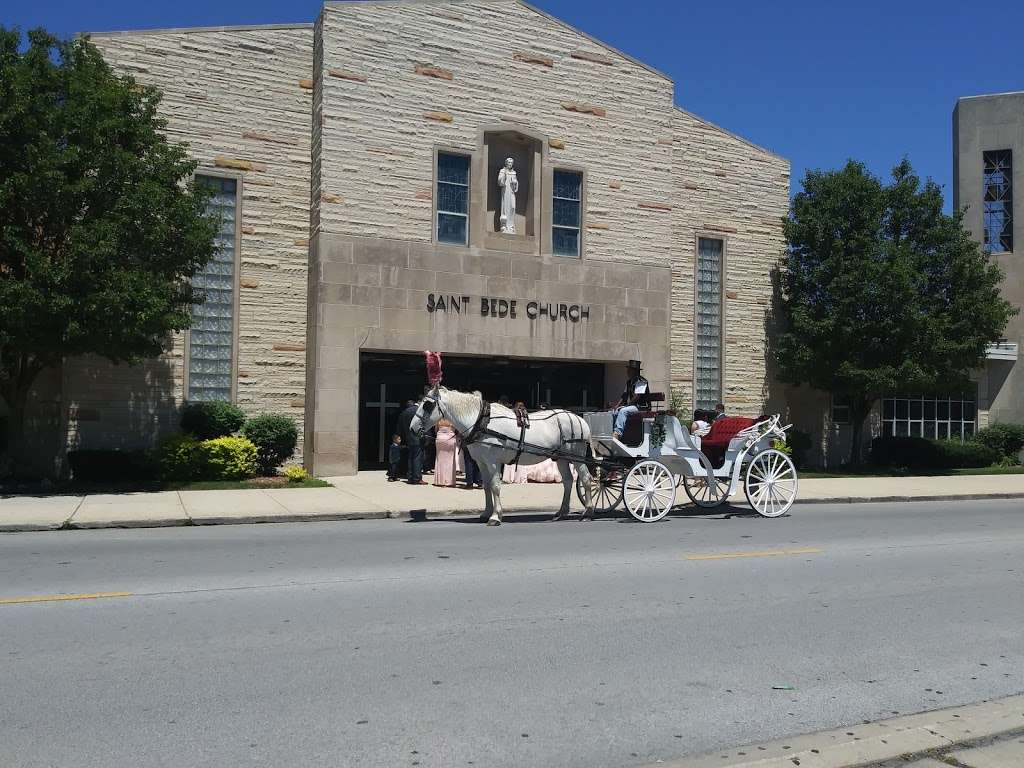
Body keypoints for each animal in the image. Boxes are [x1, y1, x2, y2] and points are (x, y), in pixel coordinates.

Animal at [411, 387, 598, 528]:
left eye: (427, 405)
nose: (412, 429)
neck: (481, 422)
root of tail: (580, 419)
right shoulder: (481, 462)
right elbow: (486, 486)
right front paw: (486, 513)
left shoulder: (493, 462)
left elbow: (495, 486)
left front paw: (495, 516)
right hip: (561, 458)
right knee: (568, 481)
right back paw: (561, 512)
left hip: (577, 456)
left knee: (586, 479)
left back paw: (587, 512)